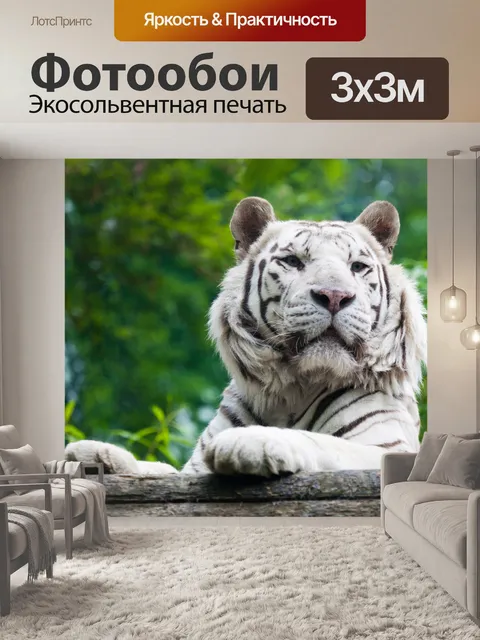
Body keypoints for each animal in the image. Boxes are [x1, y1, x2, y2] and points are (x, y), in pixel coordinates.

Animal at [182, 196, 426, 477]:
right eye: (292, 261)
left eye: (357, 266)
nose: (334, 296)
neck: (289, 394)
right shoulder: (191, 468)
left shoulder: (386, 446)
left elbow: (321, 441)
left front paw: (246, 440)